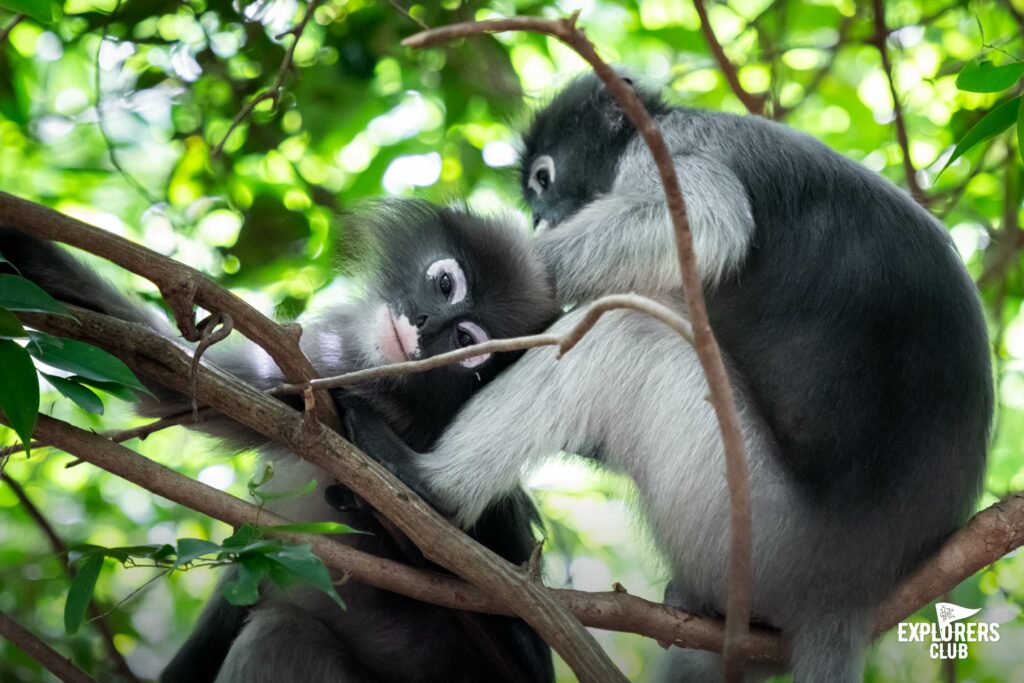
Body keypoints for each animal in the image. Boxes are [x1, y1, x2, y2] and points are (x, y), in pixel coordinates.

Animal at [2, 198, 561, 683]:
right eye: (445, 284)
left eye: (465, 341)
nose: (423, 325)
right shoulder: (313, 372)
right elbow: (161, 374)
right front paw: (17, 240)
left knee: (276, 632)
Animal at [342, 76, 991, 683]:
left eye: (543, 180)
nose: (540, 218)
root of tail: (849, 589)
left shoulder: (671, 149)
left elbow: (708, 223)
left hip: (753, 528)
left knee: (625, 327)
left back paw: (429, 485)